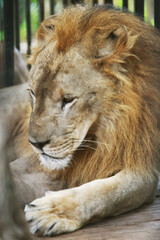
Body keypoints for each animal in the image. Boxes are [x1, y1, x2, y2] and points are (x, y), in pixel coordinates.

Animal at [7, 4, 160, 236]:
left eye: (68, 100)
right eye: (33, 93)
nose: (35, 144)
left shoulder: (143, 166)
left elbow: (105, 192)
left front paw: (50, 212)